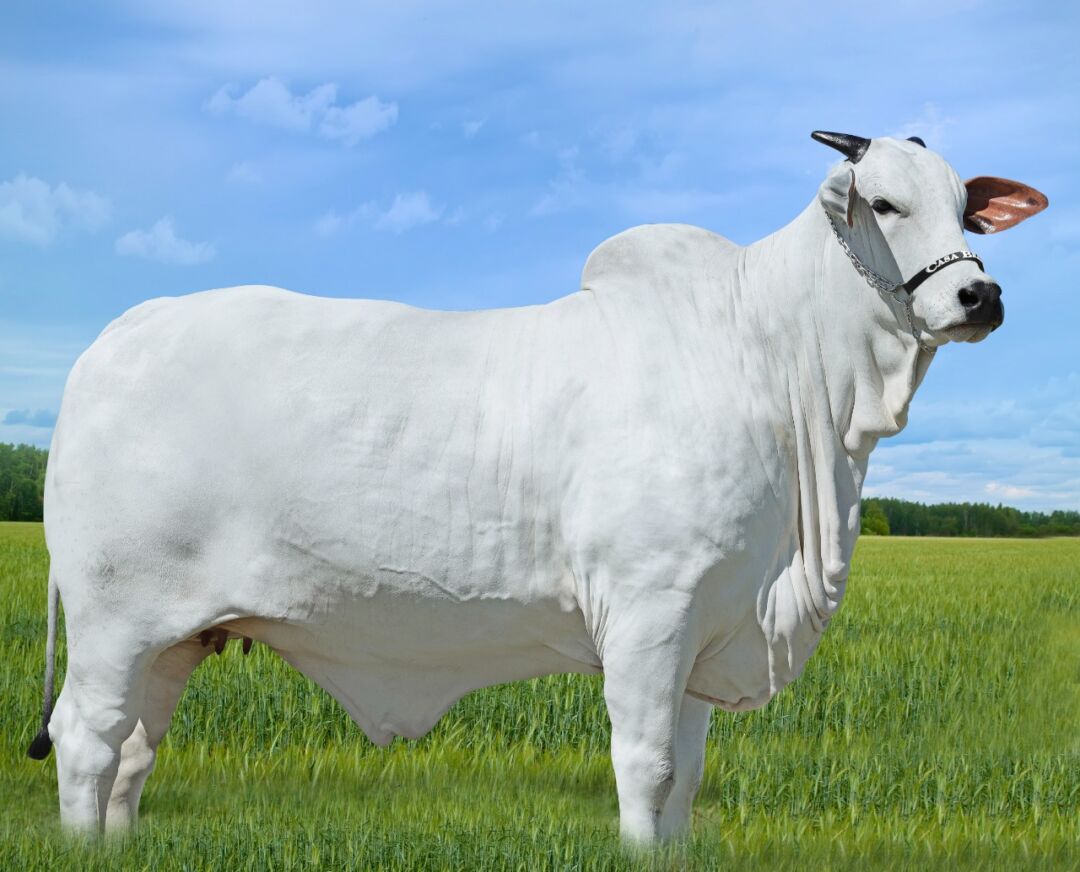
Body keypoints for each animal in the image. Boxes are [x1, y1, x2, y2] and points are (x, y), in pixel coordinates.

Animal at [27, 132, 1046, 842]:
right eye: (884, 201)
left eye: (965, 207)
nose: (980, 297)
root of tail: (122, 332)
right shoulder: (649, 615)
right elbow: (645, 772)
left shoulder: (707, 634)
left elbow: (686, 780)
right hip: (113, 621)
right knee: (85, 742)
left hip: (175, 638)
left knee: (132, 756)